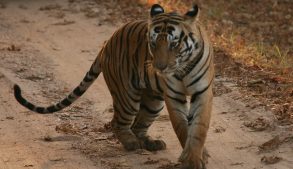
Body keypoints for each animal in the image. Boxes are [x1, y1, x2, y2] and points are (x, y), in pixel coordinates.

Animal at [13, 3, 212, 169]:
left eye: (174, 44)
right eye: (153, 44)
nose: (159, 67)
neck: (183, 67)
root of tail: (107, 42)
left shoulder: (202, 93)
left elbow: (198, 128)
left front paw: (196, 157)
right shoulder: (173, 95)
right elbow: (182, 127)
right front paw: (192, 160)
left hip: (153, 102)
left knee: (138, 125)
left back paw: (151, 143)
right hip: (127, 96)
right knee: (118, 123)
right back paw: (132, 143)